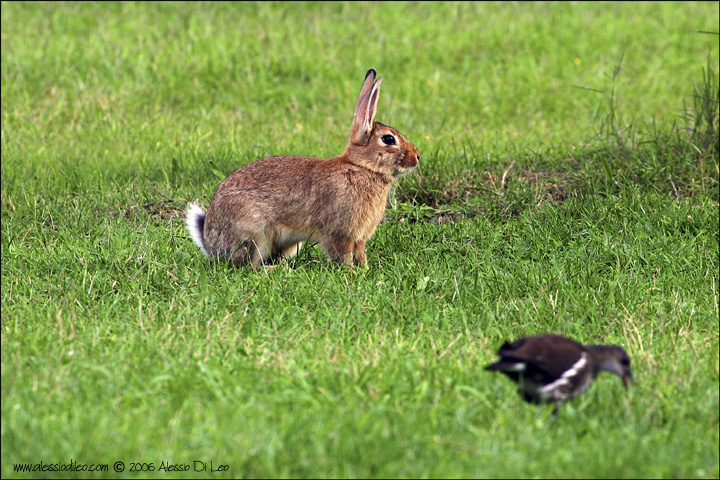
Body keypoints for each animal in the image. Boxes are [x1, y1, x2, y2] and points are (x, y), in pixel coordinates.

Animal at [187, 69, 422, 268]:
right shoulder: (338, 233)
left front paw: (364, 270)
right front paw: (351, 273)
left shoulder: (359, 238)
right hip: (255, 233)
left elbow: (360, 253)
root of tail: (212, 245)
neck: (361, 167)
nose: (417, 157)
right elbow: (343, 255)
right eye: (389, 139)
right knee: (249, 267)